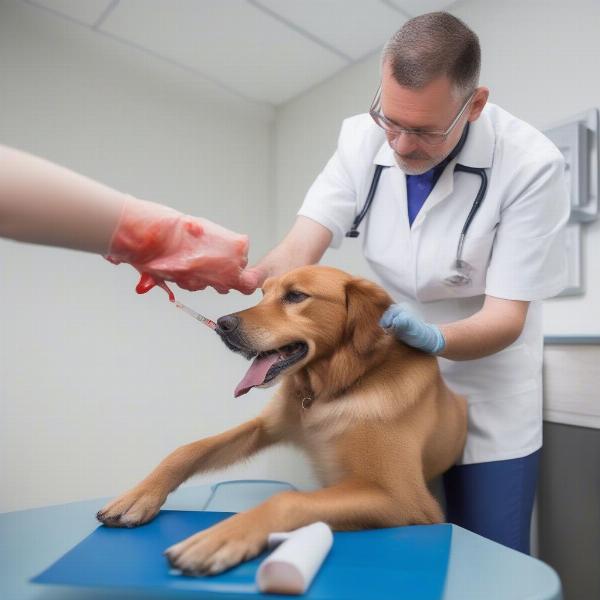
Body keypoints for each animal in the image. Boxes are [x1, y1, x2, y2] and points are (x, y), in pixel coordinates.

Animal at [96, 264, 466, 576]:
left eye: (295, 296)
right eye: (263, 293)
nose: (223, 324)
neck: (332, 390)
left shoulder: (406, 499)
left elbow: (288, 499)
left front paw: (220, 537)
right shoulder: (266, 427)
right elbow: (188, 450)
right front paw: (138, 496)